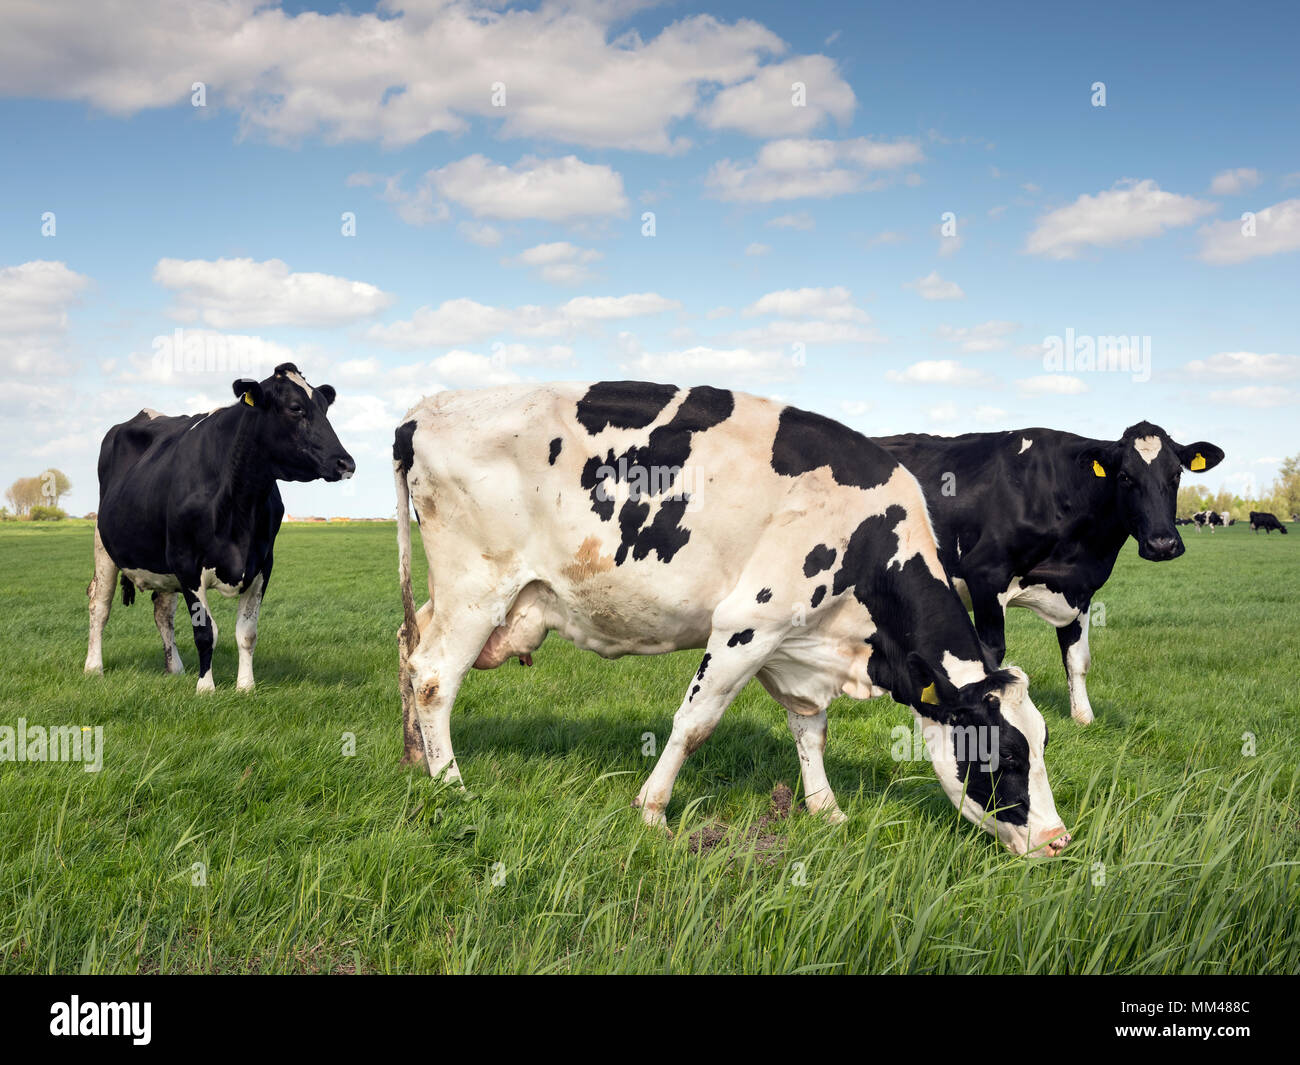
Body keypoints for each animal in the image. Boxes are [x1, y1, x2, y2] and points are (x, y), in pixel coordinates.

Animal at [84, 364, 355, 692]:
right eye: (295, 408)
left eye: (325, 408)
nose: (345, 463)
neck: (240, 501)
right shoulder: (186, 563)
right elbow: (205, 633)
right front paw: (206, 688)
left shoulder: (262, 564)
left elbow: (247, 632)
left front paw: (246, 687)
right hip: (104, 545)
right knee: (99, 604)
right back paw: (93, 667)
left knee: (162, 611)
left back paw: (174, 668)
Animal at [393, 382, 1070, 856]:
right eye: (1006, 754)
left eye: (1040, 743)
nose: (1058, 840)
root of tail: (426, 409)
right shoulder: (749, 625)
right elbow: (695, 723)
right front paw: (653, 811)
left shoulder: (795, 645)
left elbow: (810, 729)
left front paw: (827, 811)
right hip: (476, 586)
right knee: (434, 675)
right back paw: (451, 784)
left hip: (462, 595)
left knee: (407, 646)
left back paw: (415, 760)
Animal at [875, 423, 1223, 726]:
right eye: (1125, 476)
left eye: (1176, 474)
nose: (1162, 544)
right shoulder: (986, 575)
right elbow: (992, 654)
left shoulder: (1081, 589)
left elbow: (1078, 659)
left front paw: (1084, 718)